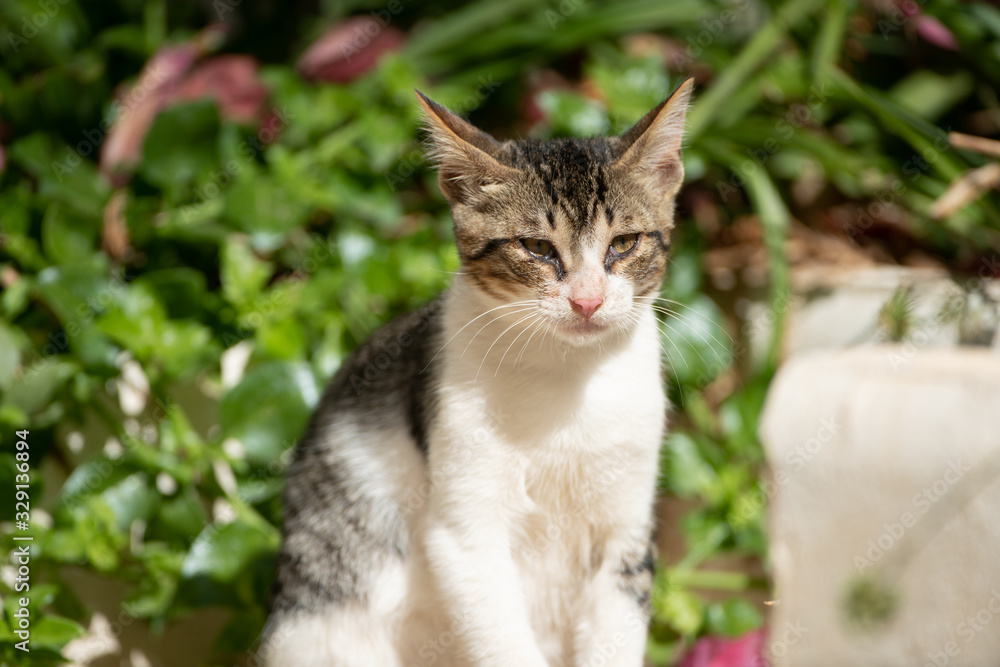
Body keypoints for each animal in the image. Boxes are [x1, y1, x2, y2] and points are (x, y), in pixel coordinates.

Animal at [262, 79, 692, 667]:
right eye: (537, 247)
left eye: (623, 243)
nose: (587, 300)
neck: (566, 377)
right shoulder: (465, 532)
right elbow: (500, 633)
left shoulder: (627, 526)